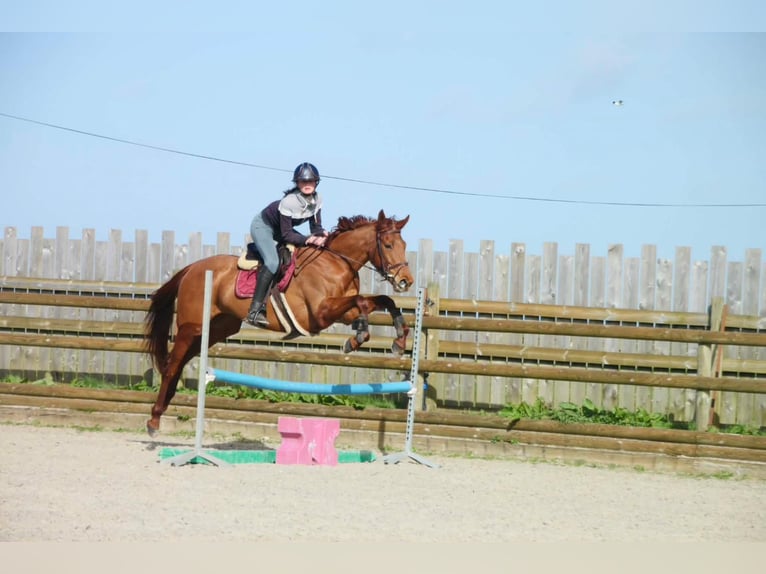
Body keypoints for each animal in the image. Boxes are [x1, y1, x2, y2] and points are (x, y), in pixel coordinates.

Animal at [143, 209, 414, 436]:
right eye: (388, 245)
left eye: (404, 245)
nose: (405, 281)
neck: (337, 263)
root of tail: (191, 268)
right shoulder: (319, 314)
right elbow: (362, 302)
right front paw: (358, 336)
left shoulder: (339, 312)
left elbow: (383, 300)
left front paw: (399, 340)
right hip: (191, 327)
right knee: (171, 365)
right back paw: (154, 420)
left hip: (217, 329)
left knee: (180, 362)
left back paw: (163, 406)